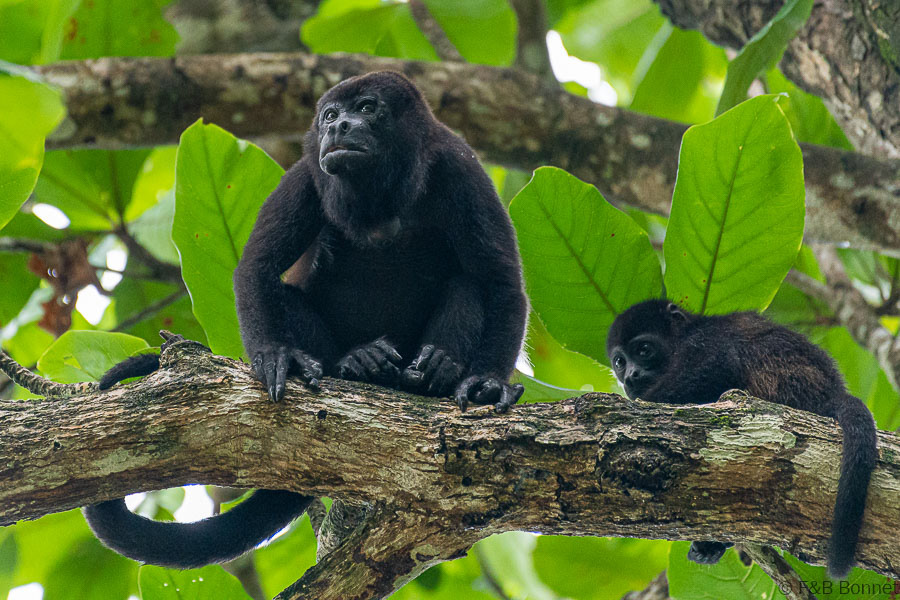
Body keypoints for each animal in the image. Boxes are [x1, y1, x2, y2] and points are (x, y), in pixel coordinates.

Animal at [83, 71, 529, 569]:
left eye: (368, 108)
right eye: (330, 115)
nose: (339, 127)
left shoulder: (460, 166)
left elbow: (501, 281)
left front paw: (487, 383)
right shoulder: (305, 175)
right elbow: (256, 268)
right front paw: (279, 358)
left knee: (468, 285)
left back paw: (432, 373)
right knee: (288, 296)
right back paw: (358, 364)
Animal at [605, 299, 877, 579]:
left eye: (644, 350)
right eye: (620, 362)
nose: (630, 376)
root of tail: (828, 392)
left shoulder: (704, 340)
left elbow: (717, 363)